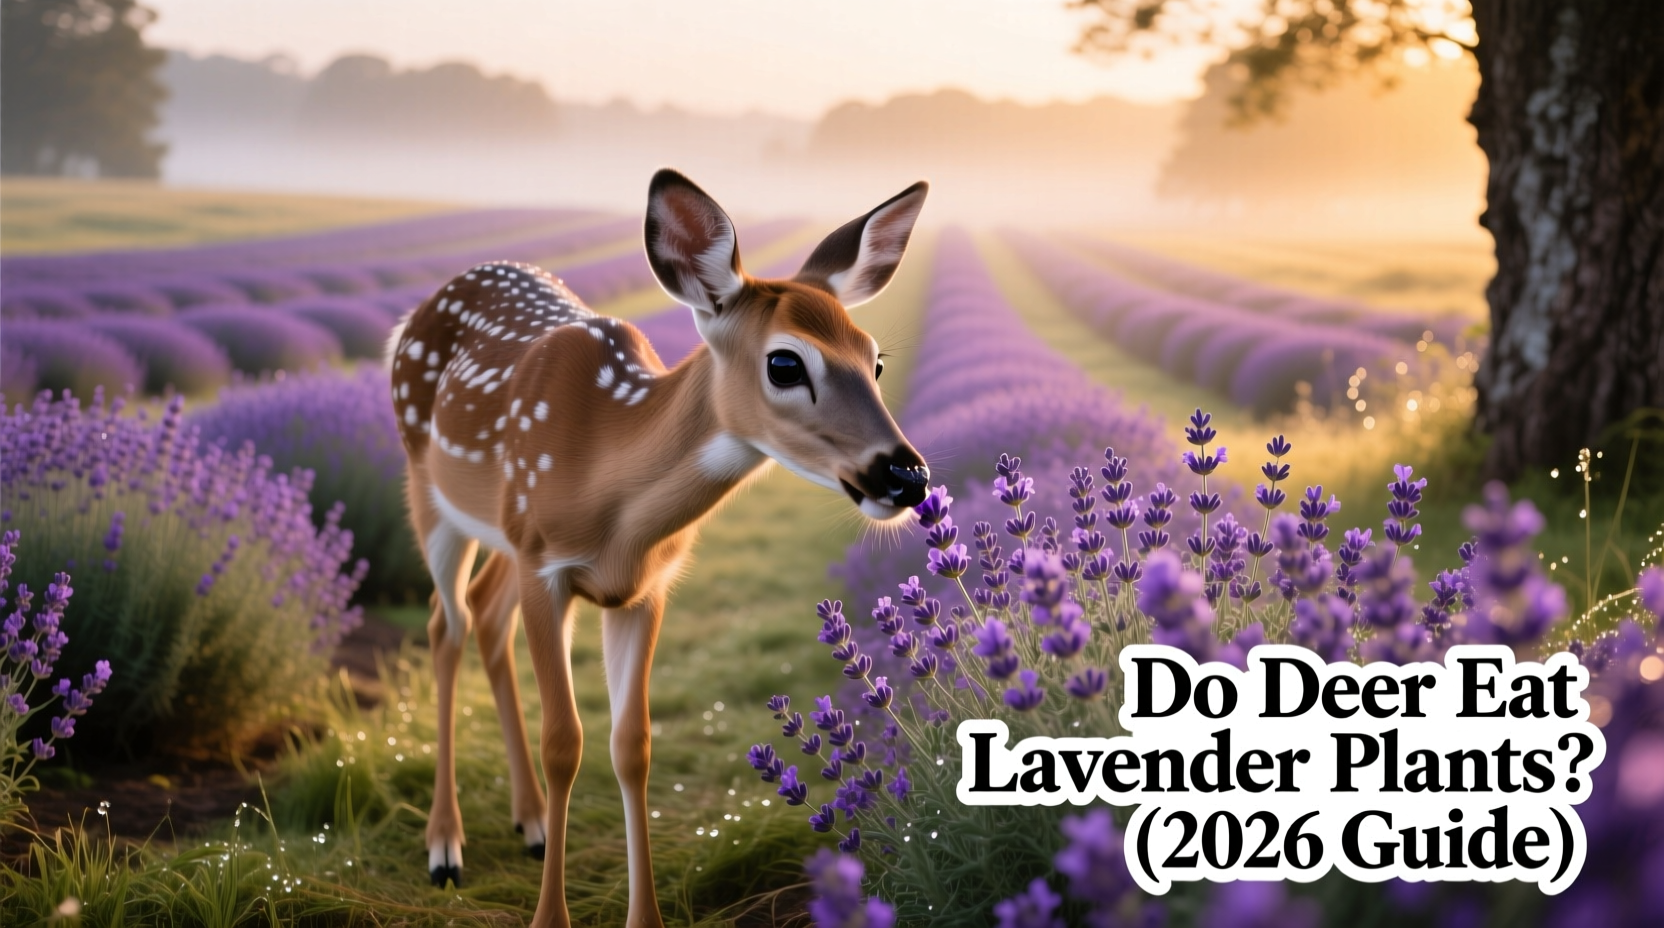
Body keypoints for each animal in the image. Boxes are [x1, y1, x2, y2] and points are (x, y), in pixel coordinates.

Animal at [387, 169, 930, 928]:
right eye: (785, 362)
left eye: (876, 361)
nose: (906, 475)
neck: (615, 504)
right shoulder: (545, 566)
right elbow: (566, 742)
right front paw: (548, 917)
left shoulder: (644, 587)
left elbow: (632, 746)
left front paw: (643, 916)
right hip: (429, 489)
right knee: (449, 622)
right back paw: (445, 848)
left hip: (500, 531)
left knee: (485, 615)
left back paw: (530, 823)